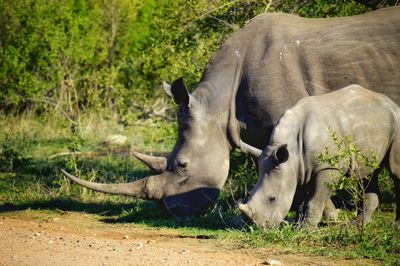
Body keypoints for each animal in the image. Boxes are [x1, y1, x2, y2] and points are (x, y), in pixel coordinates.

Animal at [239, 85, 398, 229]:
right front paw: (327, 220)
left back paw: (395, 226)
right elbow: (316, 197)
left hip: (396, 121)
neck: (291, 151)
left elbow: (315, 198)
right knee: (366, 174)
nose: (254, 226)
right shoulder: (301, 167)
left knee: (394, 171)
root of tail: (391, 102)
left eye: (272, 198)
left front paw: (305, 229)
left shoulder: (327, 165)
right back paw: (359, 225)